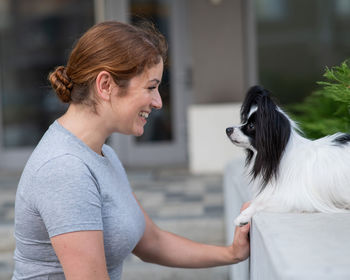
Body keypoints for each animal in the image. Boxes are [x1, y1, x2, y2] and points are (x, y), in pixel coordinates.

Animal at [226, 85, 350, 225]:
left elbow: (261, 203)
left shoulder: (294, 200)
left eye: (251, 126)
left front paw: (243, 216)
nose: (227, 129)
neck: (279, 156)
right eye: (245, 121)